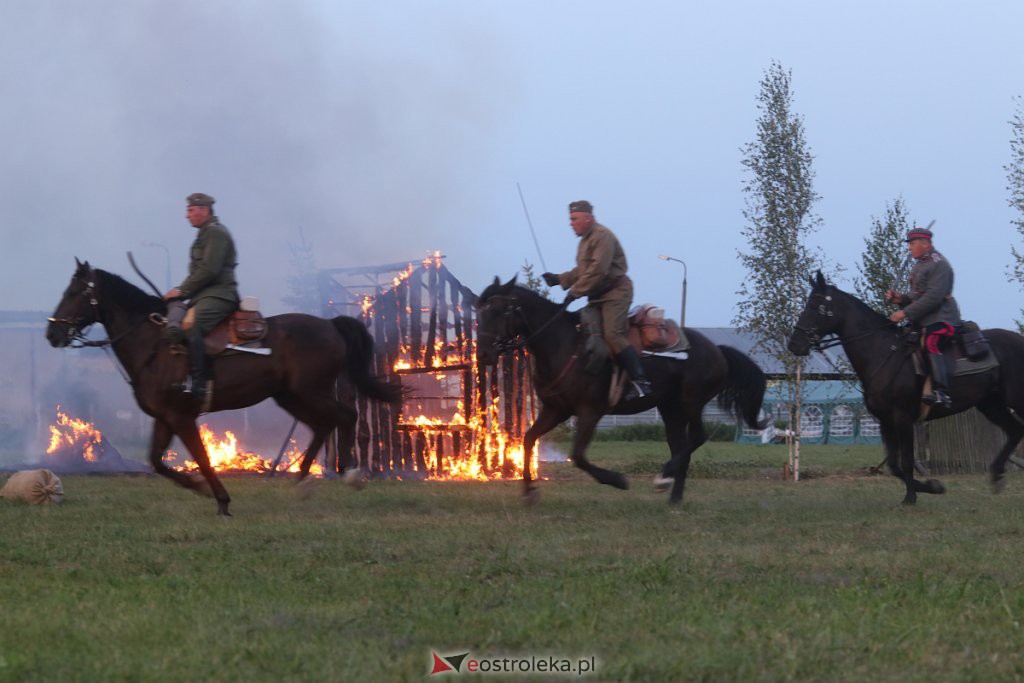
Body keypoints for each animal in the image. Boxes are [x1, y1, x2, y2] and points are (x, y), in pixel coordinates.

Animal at [47, 259, 399, 516]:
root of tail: (329, 324)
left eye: (75, 292)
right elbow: (157, 461)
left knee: (346, 415)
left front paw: (221, 499)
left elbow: (201, 457)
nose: (52, 334)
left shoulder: (181, 417)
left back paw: (351, 474)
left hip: (311, 392)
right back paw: (302, 481)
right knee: (323, 425)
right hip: (290, 396)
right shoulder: (164, 418)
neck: (154, 346)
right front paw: (201, 488)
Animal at [473, 274, 770, 505]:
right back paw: (673, 496)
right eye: (479, 311)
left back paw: (663, 478)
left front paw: (616, 479)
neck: (563, 345)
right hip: (670, 409)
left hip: (691, 402)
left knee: (696, 438)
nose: (484, 354)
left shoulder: (589, 412)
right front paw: (529, 491)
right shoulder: (556, 409)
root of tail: (717, 350)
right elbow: (528, 439)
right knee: (681, 447)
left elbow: (578, 455)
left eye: (498, 311)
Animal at [790, 270, 1024, 505]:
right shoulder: (885, 421)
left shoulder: (903, 419)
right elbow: (894, 465)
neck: (884, 353)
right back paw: (996, 474)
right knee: (1014, 431)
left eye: (816, 306)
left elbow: (907, 461)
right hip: (991, 404)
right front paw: (932, 487)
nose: (794, 344)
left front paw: (911, 497)